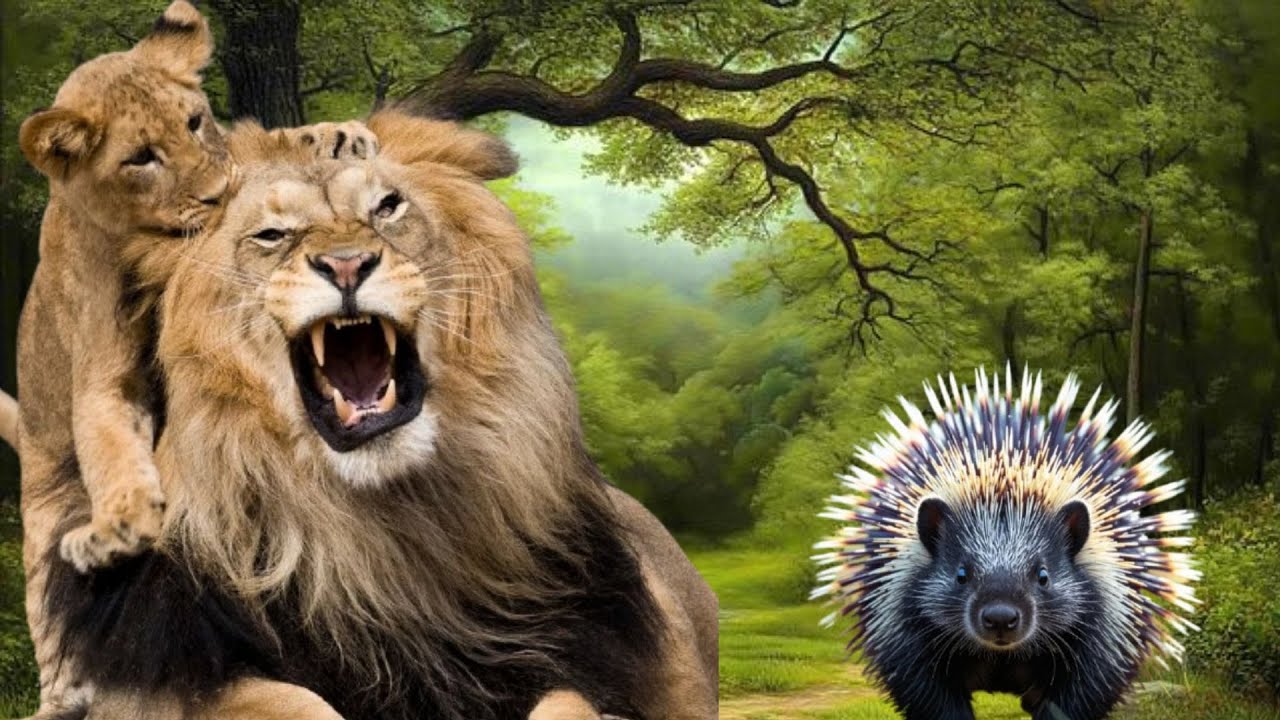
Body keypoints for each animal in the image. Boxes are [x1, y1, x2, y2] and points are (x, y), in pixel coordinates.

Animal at [10, 2, 373, 713]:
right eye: (140, 159)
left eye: (195, 122)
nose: (213, 196)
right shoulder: (103, 368)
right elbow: (111, 445)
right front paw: (120, 526)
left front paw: (334, 136)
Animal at [34, 111, 718, 720]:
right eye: (271, 235)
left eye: (387, 207)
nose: (345, 265)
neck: (380, 539)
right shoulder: (159, 675)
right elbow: (286, 702)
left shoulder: (582, 654)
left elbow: (569, 703)